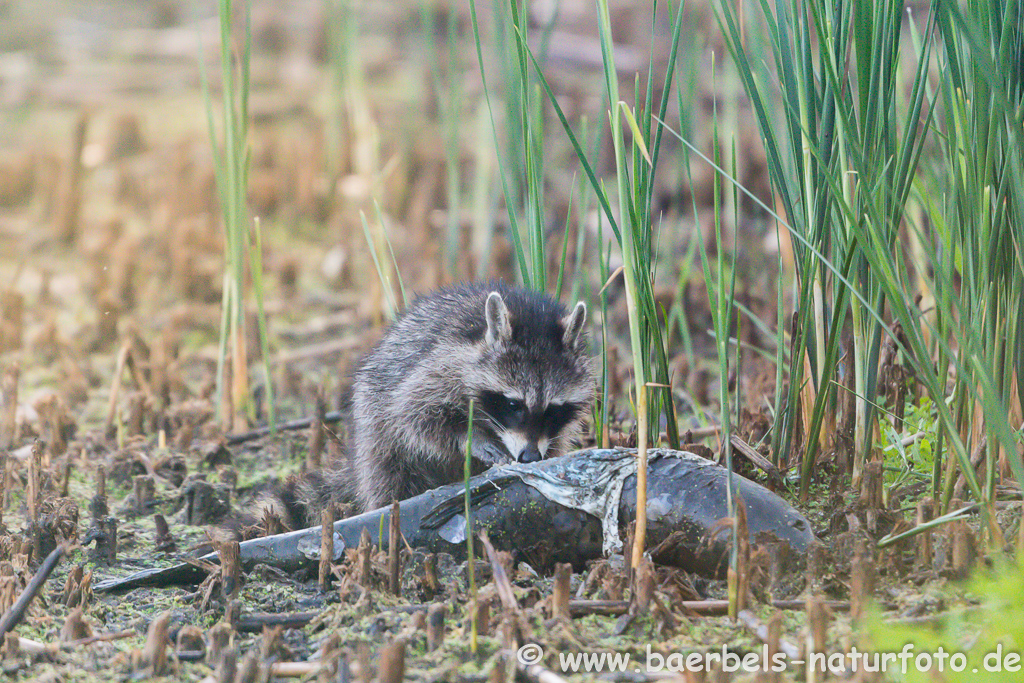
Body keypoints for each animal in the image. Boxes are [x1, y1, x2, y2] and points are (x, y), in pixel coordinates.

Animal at [264, 280, 598, 528]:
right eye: (514, 405)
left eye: (553, 410)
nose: (529, 457)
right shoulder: (441, 366)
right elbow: (414, 415)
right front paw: (469, 438)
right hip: (375, 428)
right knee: (390, 473)